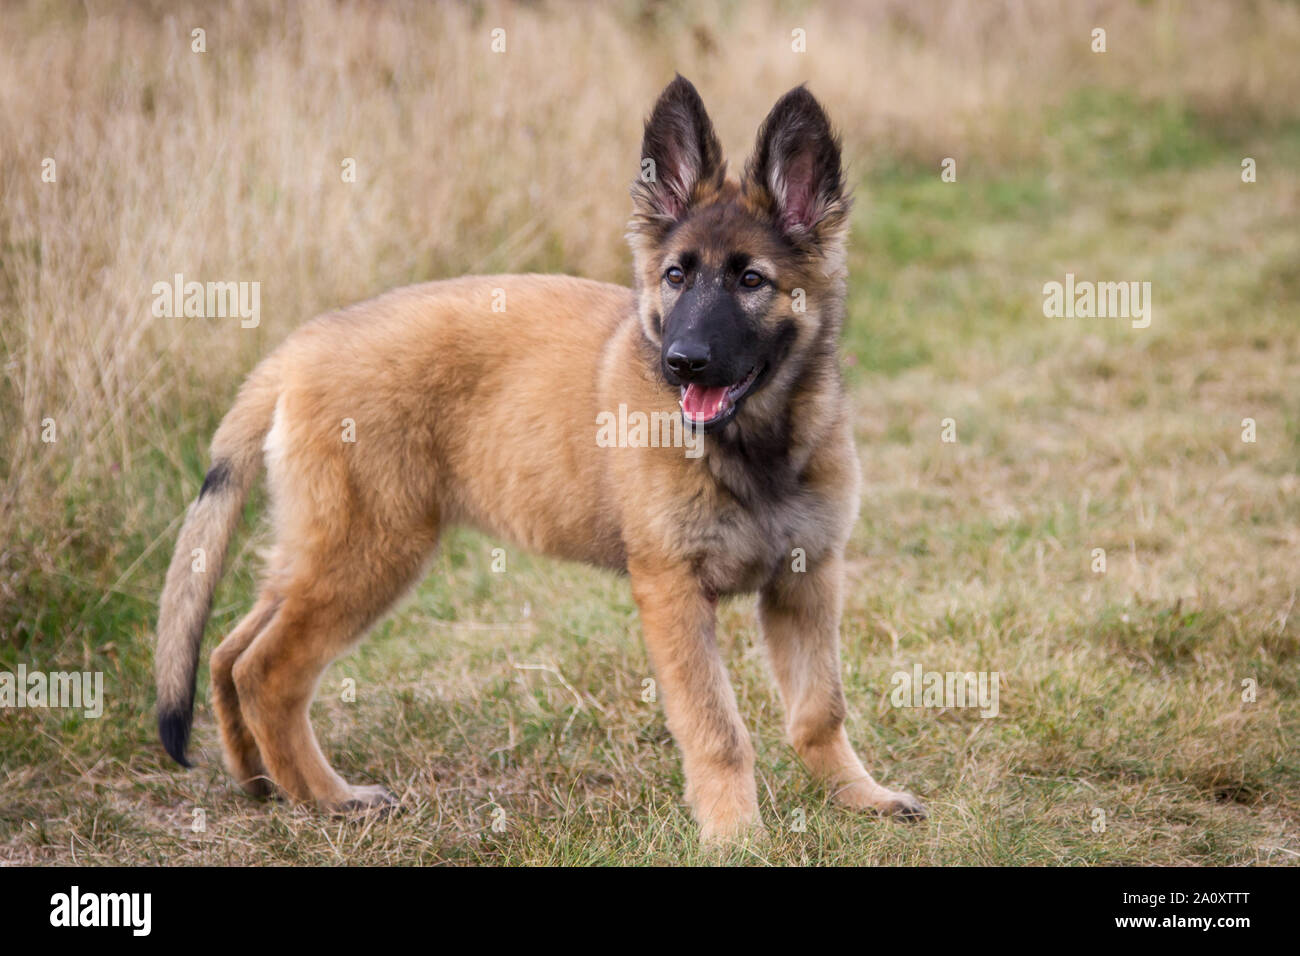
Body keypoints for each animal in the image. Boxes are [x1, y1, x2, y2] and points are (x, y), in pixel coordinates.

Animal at [154, 76, 925, 842]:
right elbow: (717, 729)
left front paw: (859, 796)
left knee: (227, 652)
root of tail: (297, 347)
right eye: (676, 276)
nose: (681, 362)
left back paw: (258, 781)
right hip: (368, 552)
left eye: (752, 281)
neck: (752, 445)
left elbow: (819, 711)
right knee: (266, 671)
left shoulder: (807, 578)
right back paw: (328, 798)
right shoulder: (673, 592)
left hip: (320, 549)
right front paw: (736, 836)